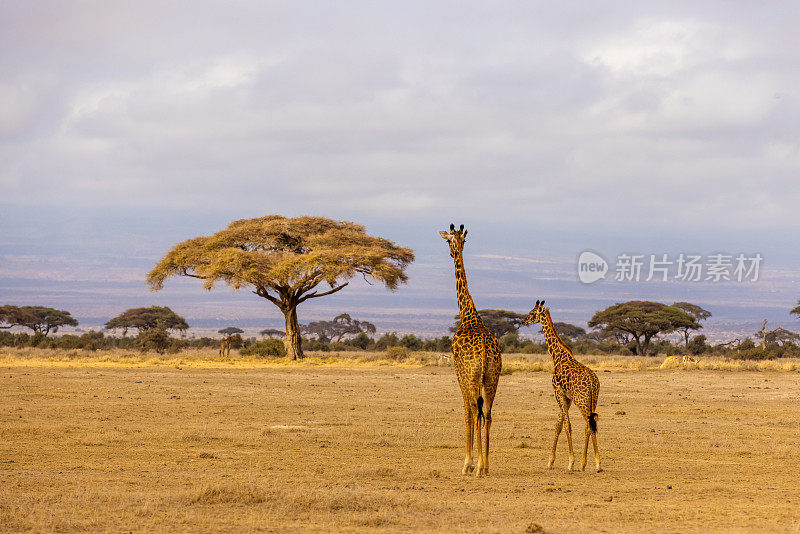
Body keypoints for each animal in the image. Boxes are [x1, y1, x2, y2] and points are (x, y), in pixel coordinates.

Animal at [440, 224, 504, 480]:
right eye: (456, 241)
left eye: (448, 241)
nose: (452, 252)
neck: (468, 314)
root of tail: (485, 354)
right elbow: (480, 413)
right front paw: (480, 463)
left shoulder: (459, 372)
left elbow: (467, 412)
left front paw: (467, 463)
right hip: (492, 376)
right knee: (488, 413)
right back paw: (485, 466)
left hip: (473, 376)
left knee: (475, 411)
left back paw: (476, 467)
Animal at [520, 302, 604, 474]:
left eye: (532, 313)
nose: (523, 321)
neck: (557, 356)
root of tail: (593, 382)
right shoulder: (567, 397)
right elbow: (558, 425)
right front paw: (550, 462)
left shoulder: (558, 392)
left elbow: (566, 426)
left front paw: (571, 462)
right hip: (593, 400)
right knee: (590, 425)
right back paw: (588, 464)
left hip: (582, 401)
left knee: (588, 425)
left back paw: (593, 464)